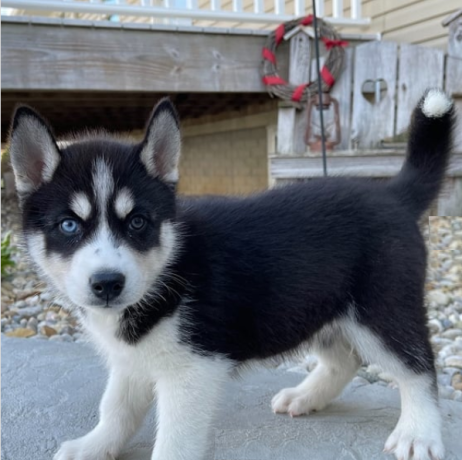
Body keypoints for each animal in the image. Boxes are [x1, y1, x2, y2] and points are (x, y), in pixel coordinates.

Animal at [9, 90, 454, 460]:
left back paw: (418, 432)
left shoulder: (194, 372)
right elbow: (116, 407)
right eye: (68, 225)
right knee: (344, 359)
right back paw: (306, 396)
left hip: (381, 310)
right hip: (315, 307)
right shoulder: (131, 359)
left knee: (418, 367)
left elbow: (174, 440)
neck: (169, 267)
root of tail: (392, 194)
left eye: (137, 222)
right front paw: (95, 445)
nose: (107, 283)